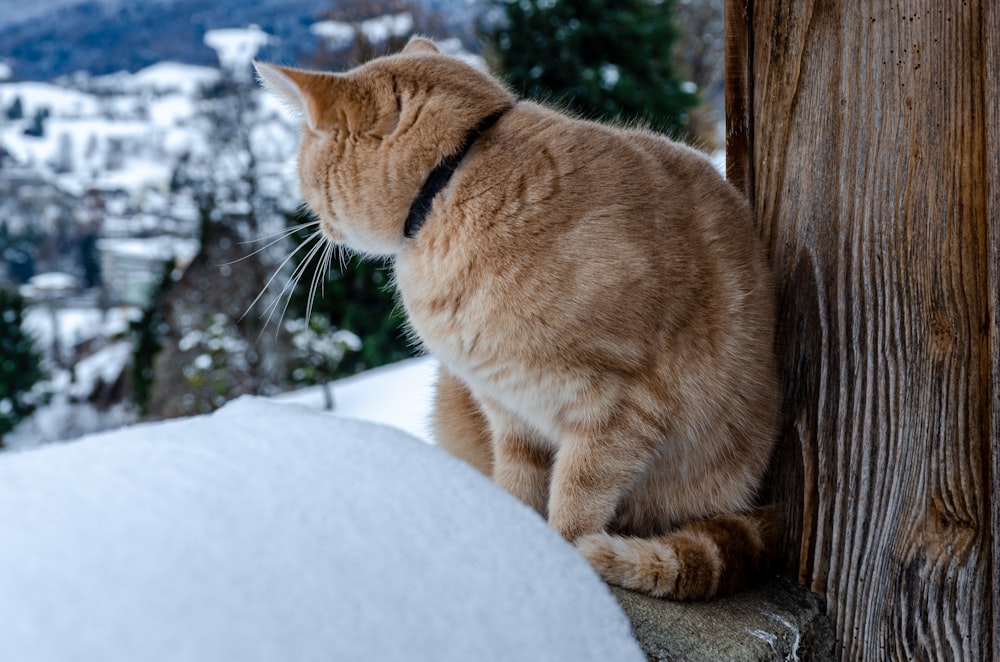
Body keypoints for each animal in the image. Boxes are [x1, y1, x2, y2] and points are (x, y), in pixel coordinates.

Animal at [256, 37, 780, 608]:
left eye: (304, 173)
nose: (313, 224)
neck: (456, 186)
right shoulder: (508, 410)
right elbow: (518, 485)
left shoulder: (623, 409)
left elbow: (576, 501)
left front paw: (565, 562)